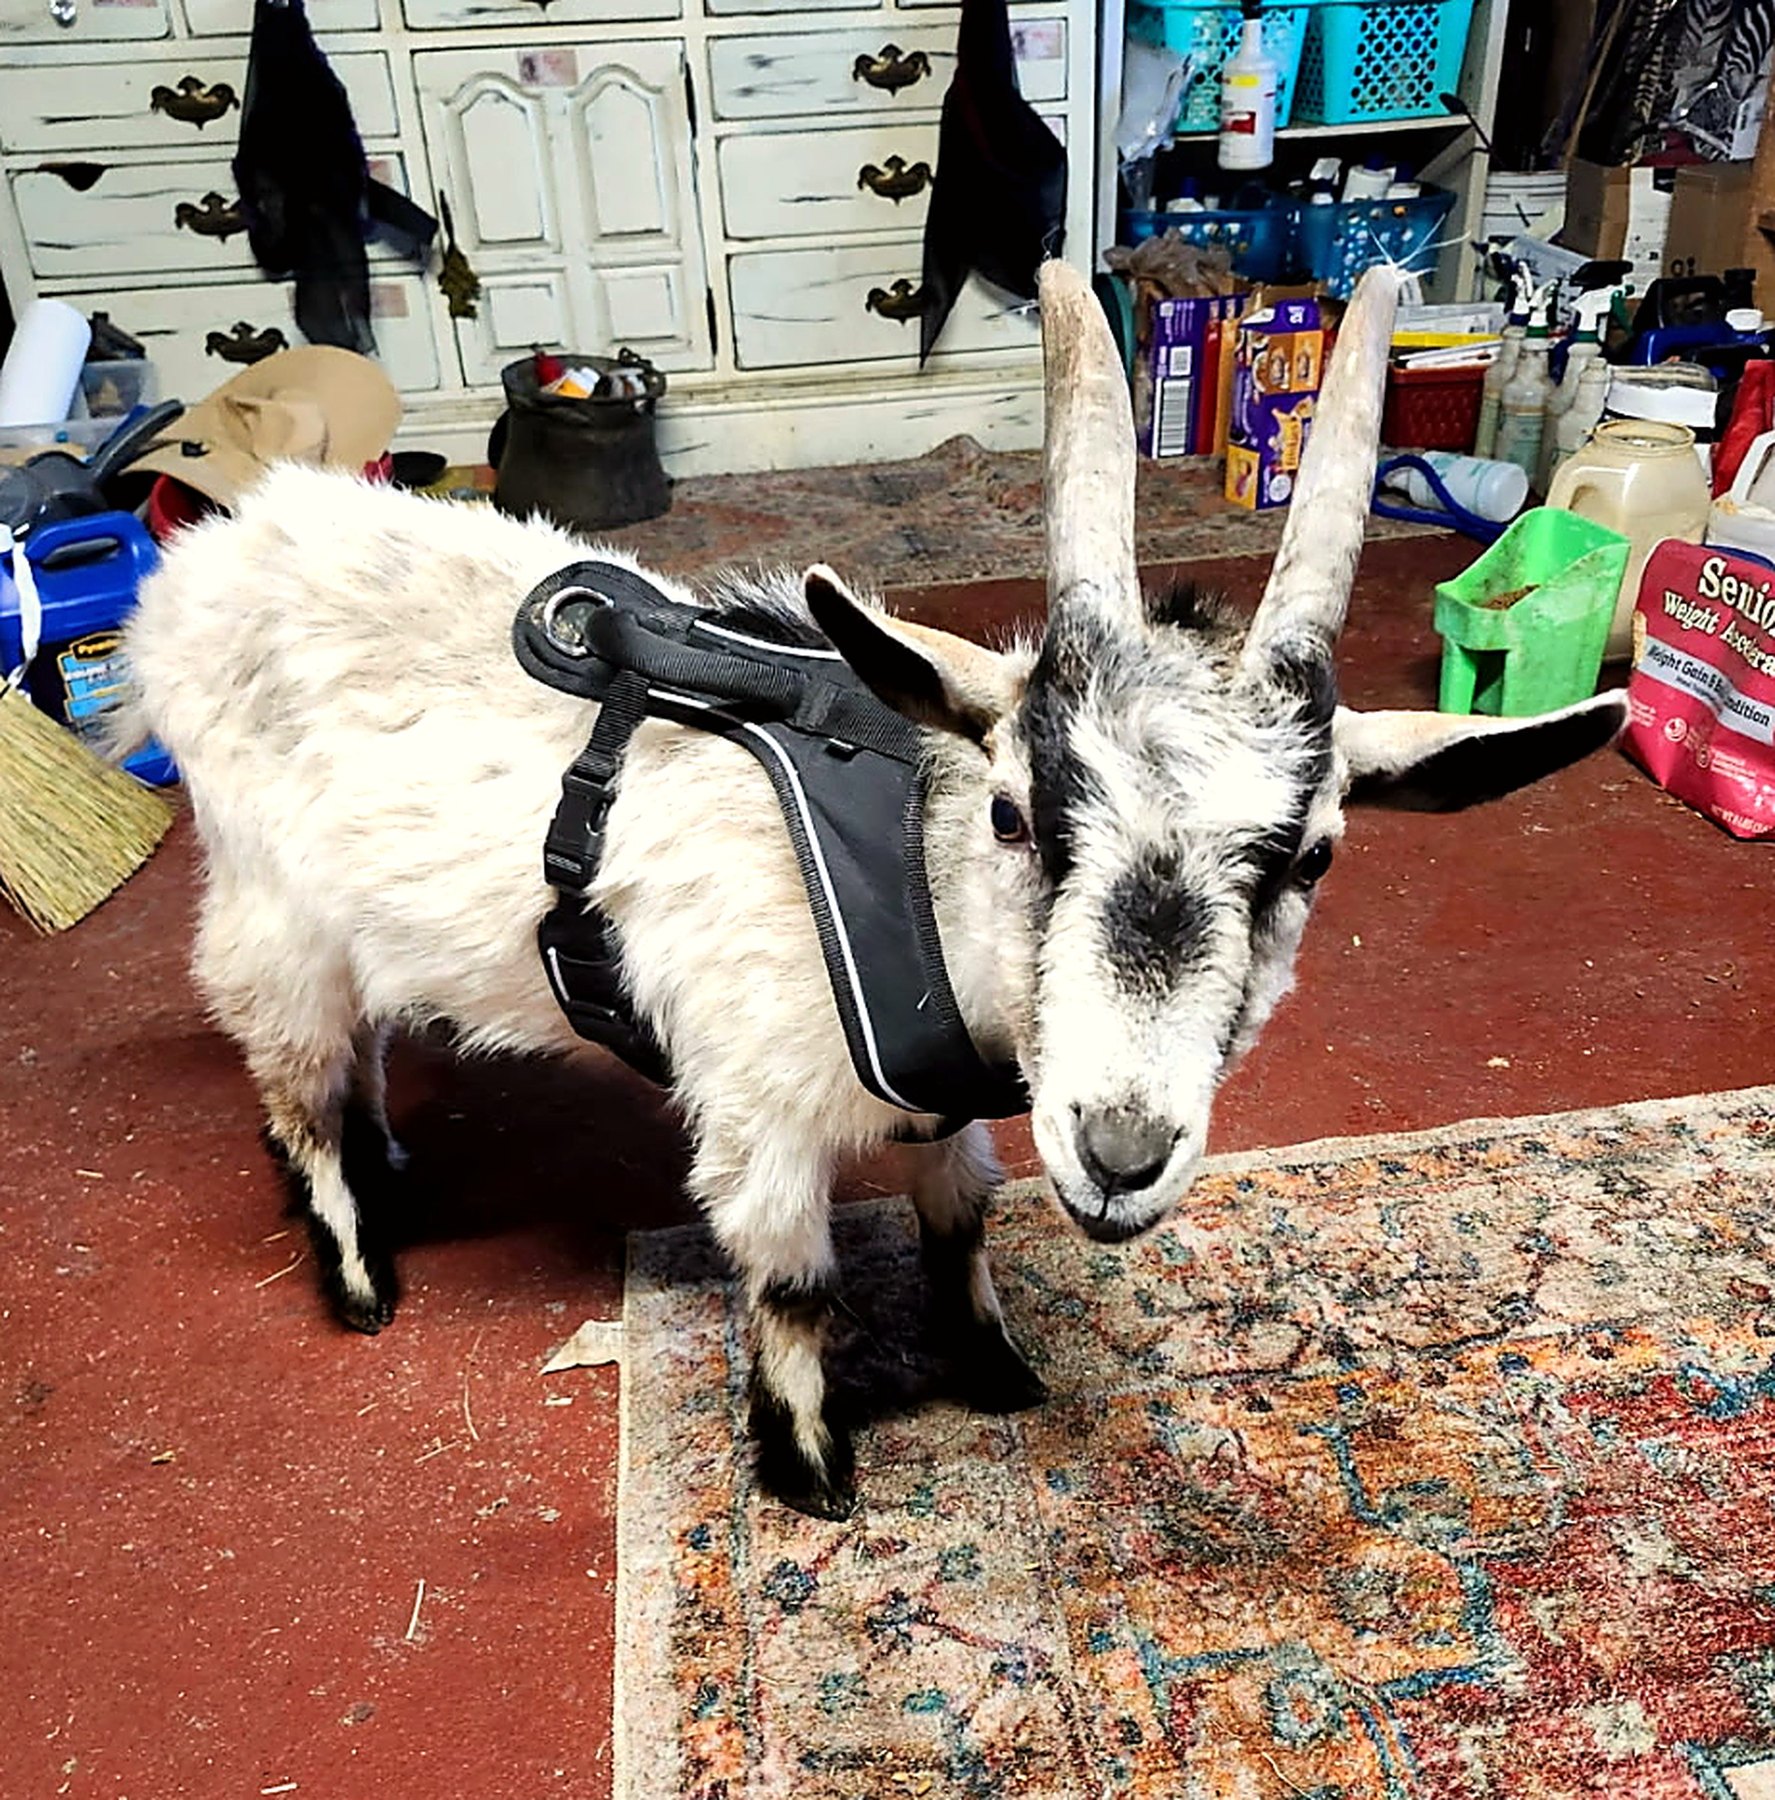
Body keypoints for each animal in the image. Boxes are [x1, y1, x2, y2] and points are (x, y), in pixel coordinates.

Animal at [121, 261, 1626, 1518]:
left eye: (1308, 856)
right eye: (1017, 813)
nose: (1120, 1152)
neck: (911, 876)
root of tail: (205, 561)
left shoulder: (937, 1108)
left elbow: (957, 1224)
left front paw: (994, 1370)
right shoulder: (755, 1119)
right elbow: (792, 1286)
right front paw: (808, 1474)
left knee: (349, 1055)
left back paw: (386, 1160)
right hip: (265, 912)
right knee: (294, 1090)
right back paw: (357, 1271)